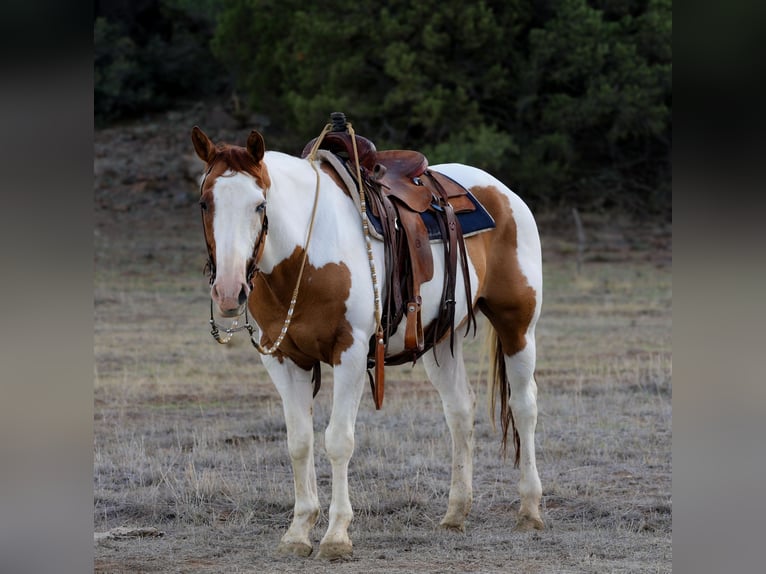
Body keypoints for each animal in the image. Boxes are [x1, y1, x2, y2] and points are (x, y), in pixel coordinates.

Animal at [190, 123, 545, 559]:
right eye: (205, 203)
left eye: (259, 205)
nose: (228, 291)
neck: (306, 254)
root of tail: (503, 192)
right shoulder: (283, 359)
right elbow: (299, 441)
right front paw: (298, 531)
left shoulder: (352, 353)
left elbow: (338, 440)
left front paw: (336, 535)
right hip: (440, 341)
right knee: (460, 410)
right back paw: (455, 513)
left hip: (518, 325)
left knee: (524, 406)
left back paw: (530, 509)